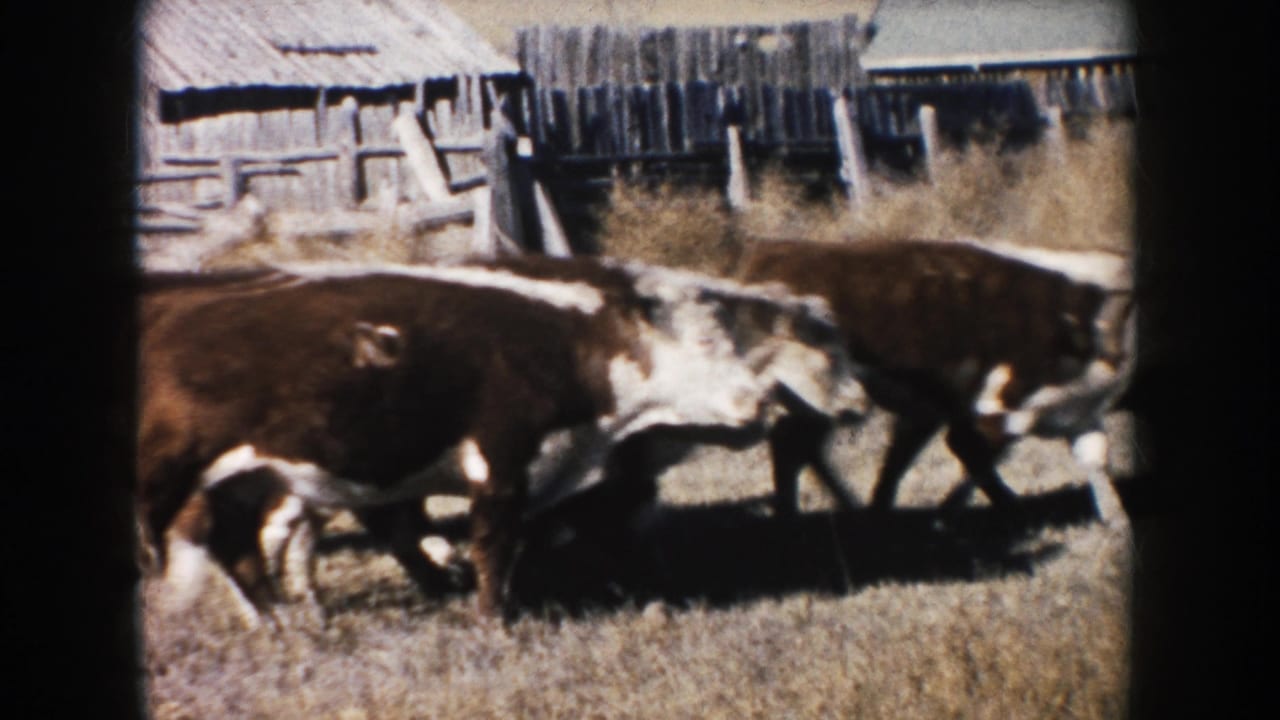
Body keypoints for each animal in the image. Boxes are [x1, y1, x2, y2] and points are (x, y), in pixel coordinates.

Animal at [138, 254, 868, 624]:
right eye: (710, 344)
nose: (757, 403)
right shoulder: (502, 463)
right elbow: (495, 546)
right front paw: (494, 619)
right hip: (200, 480)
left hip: (255, 480)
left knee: (253, 548)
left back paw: (293, 623)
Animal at [736, 238, 1136, 527]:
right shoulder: (997, 409)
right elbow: (972, 458)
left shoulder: (1080, 413)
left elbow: (1096, 460)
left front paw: (1116, 521)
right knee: (791, 445)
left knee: (798, 446)